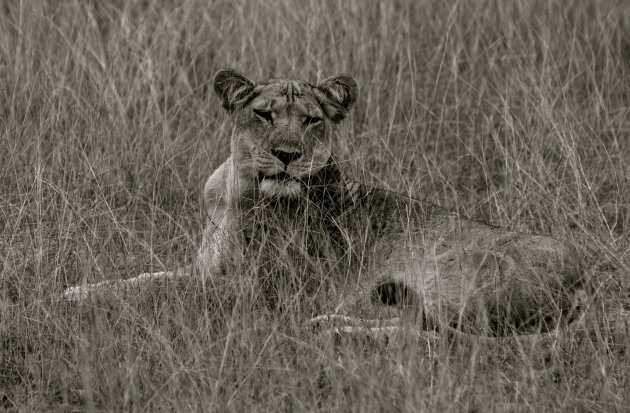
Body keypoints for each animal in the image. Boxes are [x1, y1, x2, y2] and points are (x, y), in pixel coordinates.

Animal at [64, 69, 592, 336]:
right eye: (264, 114)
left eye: (312, 120)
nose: (287, 155)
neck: (239, 193)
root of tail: (582, 281)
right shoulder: (205, 266)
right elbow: (144, 279)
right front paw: (80, 291)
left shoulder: (269, 293)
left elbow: (169, 293)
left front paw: (81, 298)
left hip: (450, 274)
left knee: (432, 335)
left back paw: (330, 326)